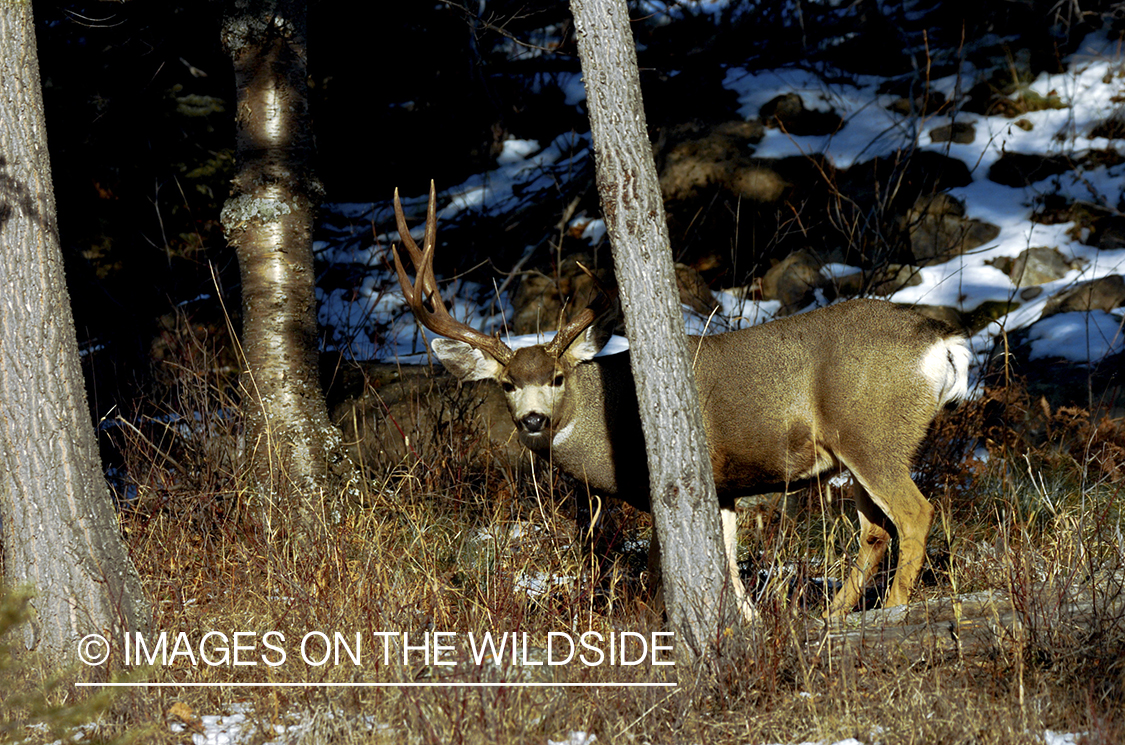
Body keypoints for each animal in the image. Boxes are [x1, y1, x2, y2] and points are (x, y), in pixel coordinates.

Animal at [391, 183, 973, 622]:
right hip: (864, 450)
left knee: (914, 514)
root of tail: (942, 341)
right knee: (875, 531)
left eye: (557, 377)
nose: (533, 419)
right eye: (508, 384)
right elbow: (730, 570)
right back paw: (830, 615)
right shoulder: (723, 487)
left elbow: (658, 573)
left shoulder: (666, 486)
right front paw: (748, 624)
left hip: (872, 432)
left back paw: (892, 609)